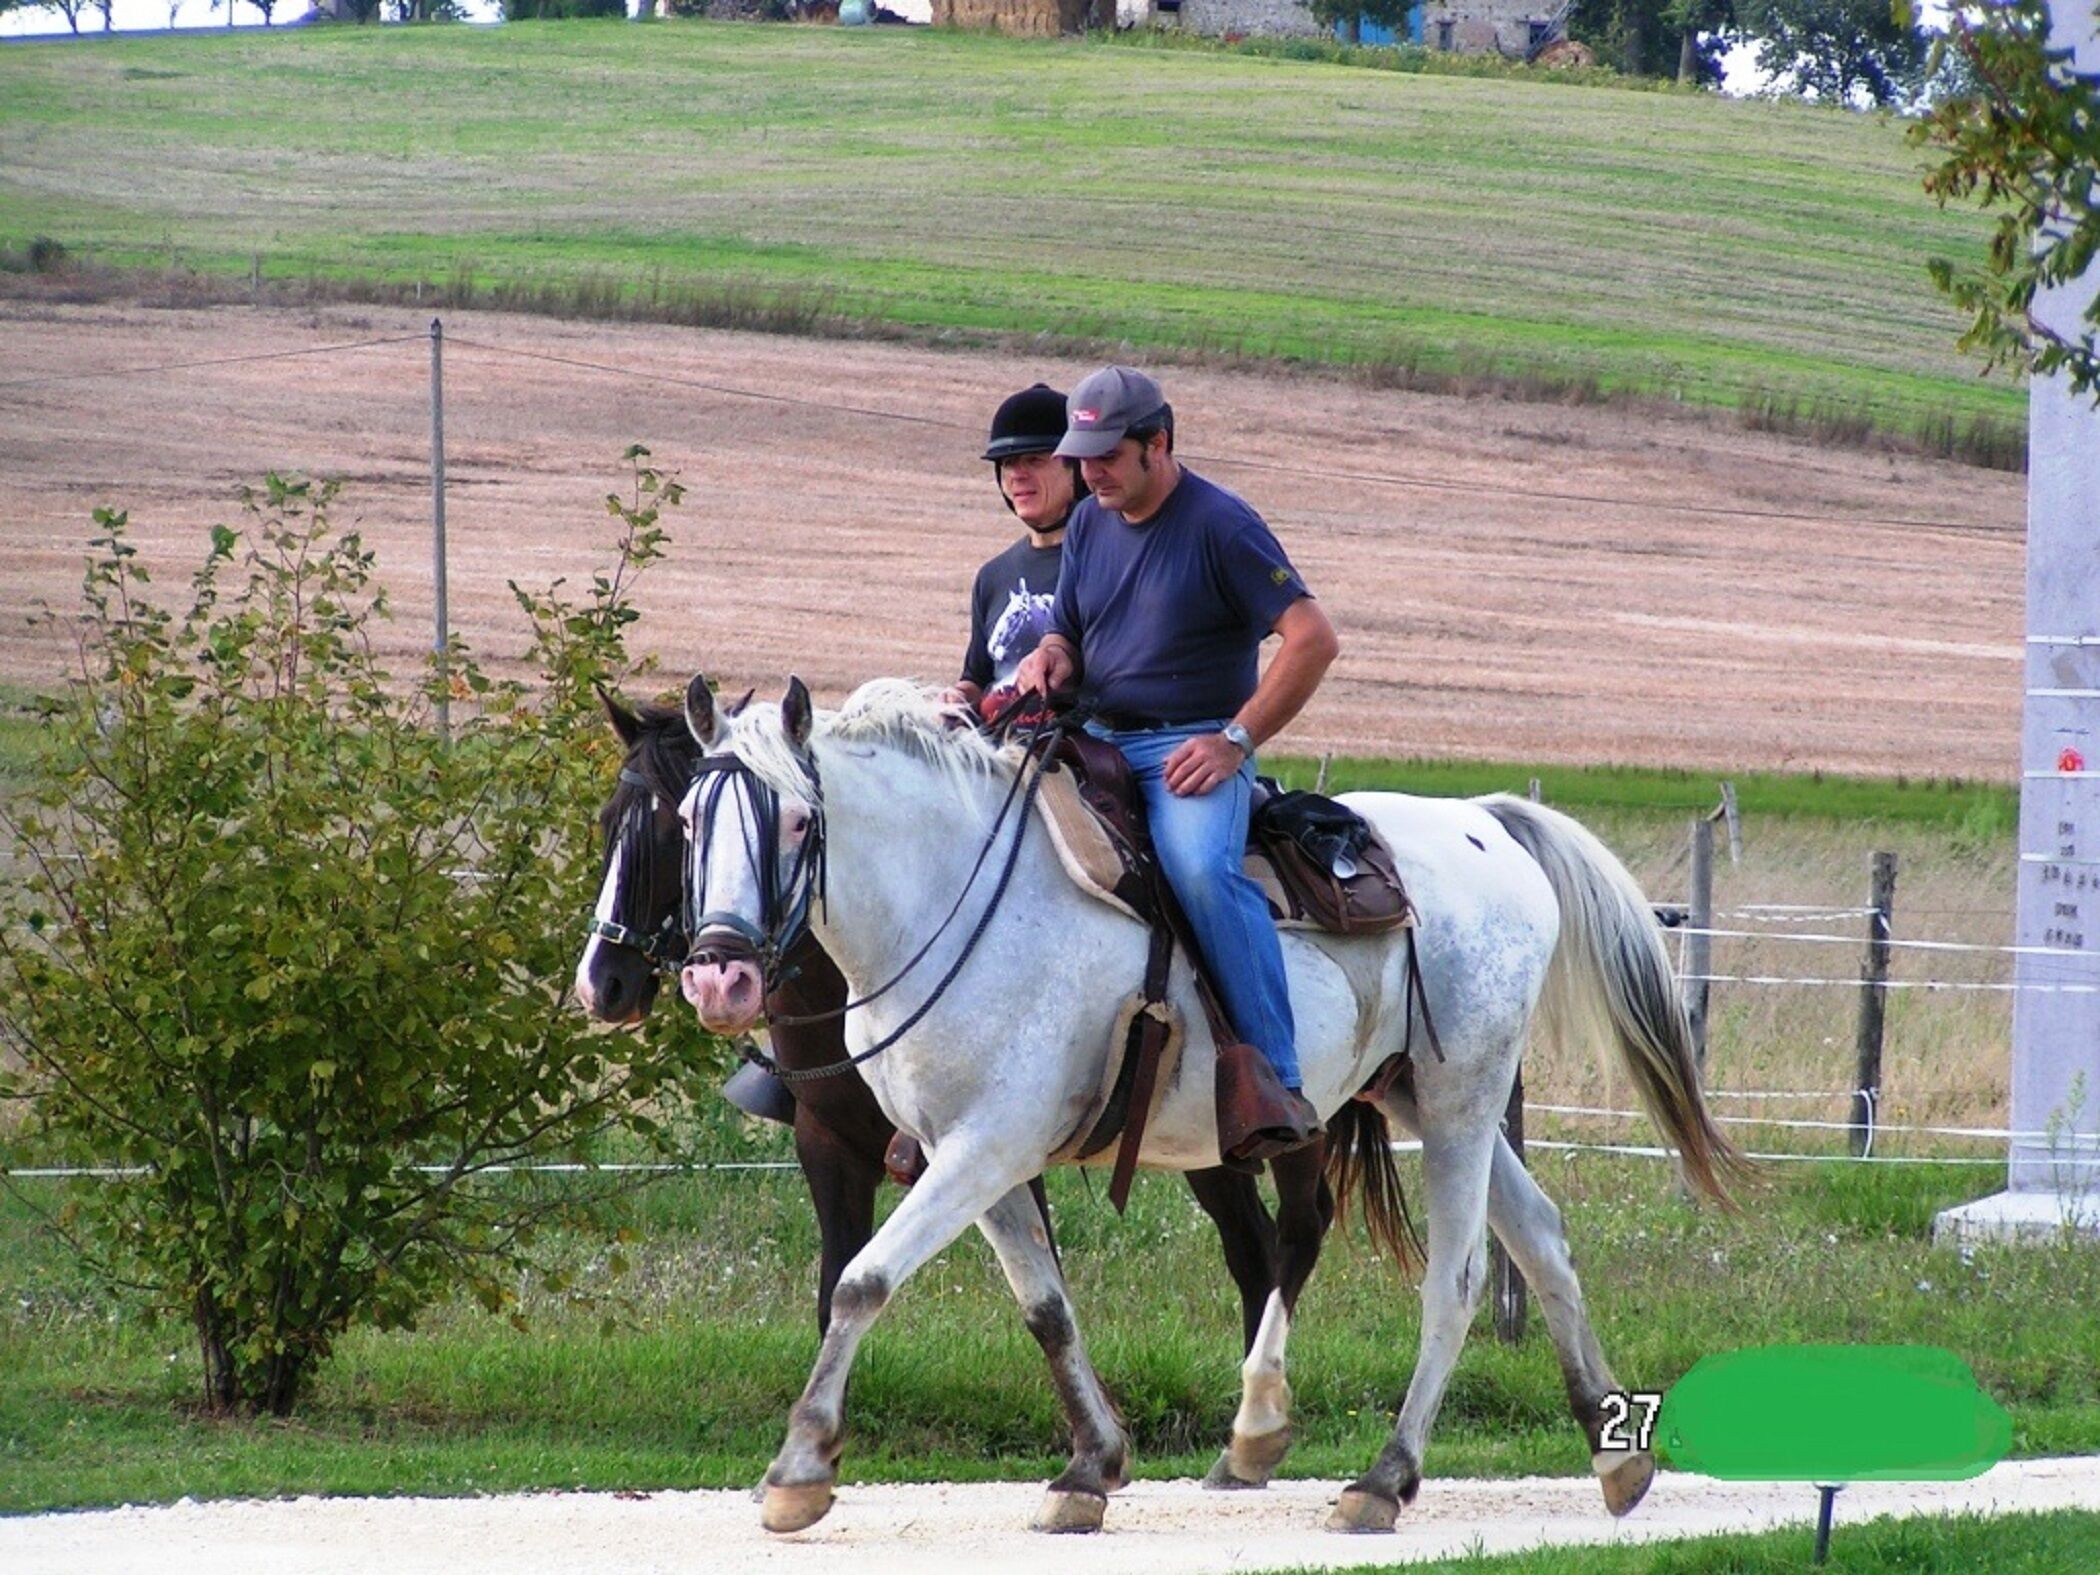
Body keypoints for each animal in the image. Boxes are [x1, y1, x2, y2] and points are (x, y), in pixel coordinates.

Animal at [572, 690, 1302, 1359]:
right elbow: (837, 1290)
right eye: (612, 822)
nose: (601, 981)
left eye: (669, 831)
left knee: (1263, 1251)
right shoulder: (827, 1144)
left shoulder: (996, 1149)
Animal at [672, 674, 1746, 1537]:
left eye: (797, 822)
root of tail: (1482, 822)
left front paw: (799, 1467)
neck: (955, 901)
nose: (719, 975)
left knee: (1458, 1277)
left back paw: (1381, 1478)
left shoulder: (984, 1148)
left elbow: (862, 1280)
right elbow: (1045, 1307)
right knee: (1545, 1239)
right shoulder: (973, 1156)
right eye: (687, 822)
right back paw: (1613, 1451)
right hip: (1423, 1096)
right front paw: (1090, 1467)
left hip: (1460, 1101)